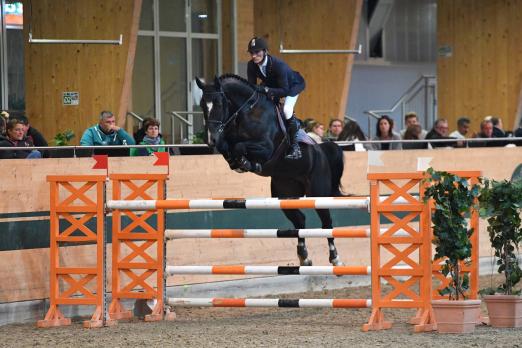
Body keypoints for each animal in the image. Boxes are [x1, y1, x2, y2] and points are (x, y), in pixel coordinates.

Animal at [195, 74, 346, 266]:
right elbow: (228, 148)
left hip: (317, 192)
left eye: (219, 104)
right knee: (300, 220)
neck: (245, 112)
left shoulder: (266, 148)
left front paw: (247, 163)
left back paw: (335, 258)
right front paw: (238, 163)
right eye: (202, 104)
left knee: (327, 223)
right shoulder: (226, 141)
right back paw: (304, 257)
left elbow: (239, 147)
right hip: (285, 193)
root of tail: (321, 150)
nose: (210, 140)